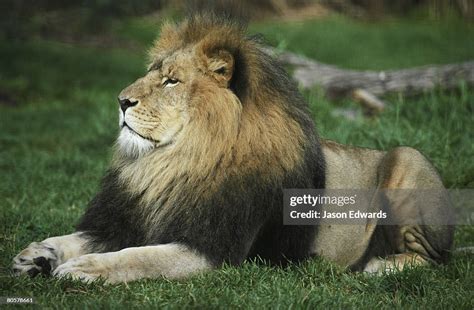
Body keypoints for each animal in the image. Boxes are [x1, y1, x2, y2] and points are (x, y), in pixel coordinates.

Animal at [12, 14, 454, 282]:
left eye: (171, 80)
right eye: (152, 74)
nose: (121, 101)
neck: (175, 161)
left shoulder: (212, 250)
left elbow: (137, 256)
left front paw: (84, 268)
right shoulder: (124, 221)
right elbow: (79, 236)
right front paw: (38, 253)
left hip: (408, 160)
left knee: (434, 258)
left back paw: (380, 265)